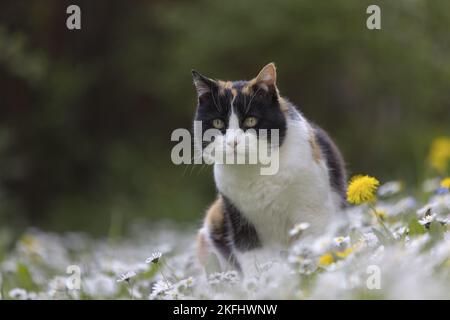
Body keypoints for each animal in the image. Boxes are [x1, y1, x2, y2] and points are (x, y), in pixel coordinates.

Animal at [192, 63, 346, 274]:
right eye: (217, 122)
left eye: (250, 121)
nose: (233, 142)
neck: (257, 172)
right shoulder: (239, 219)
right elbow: (253, 259)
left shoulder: (313, 212)